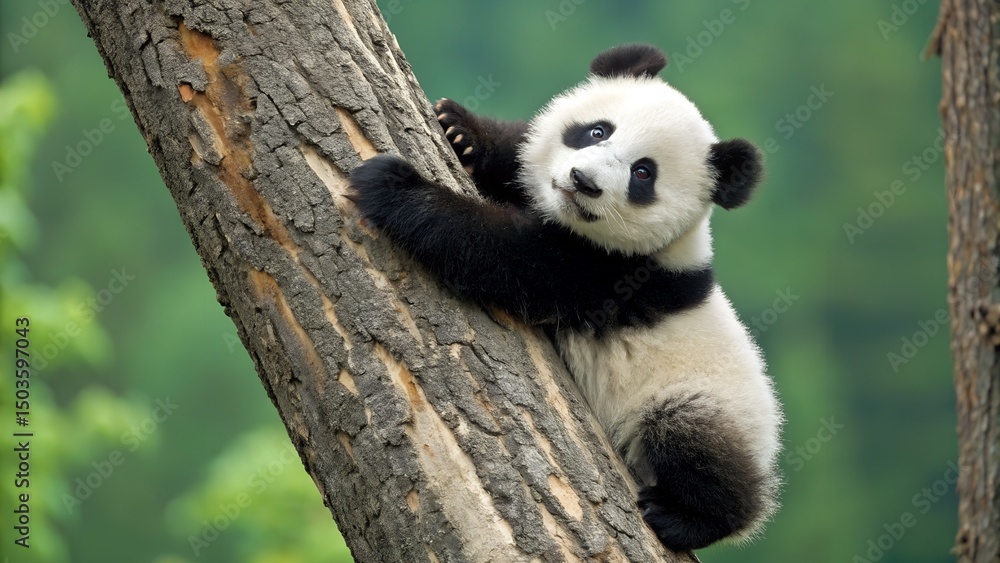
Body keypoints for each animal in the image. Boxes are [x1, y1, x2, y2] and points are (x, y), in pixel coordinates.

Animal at [348, 44, 782, 552]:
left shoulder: (608, 273)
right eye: (597, 131)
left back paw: (686, 517)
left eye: (643, 174)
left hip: (708, 398)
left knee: (693, 439)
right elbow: (515, 157)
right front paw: (462, 130)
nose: (583, 180)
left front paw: (392, 186)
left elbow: (503, 257)